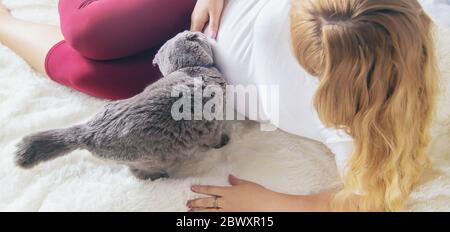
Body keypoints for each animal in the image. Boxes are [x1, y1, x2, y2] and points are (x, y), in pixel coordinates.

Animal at [14, 30, 229, 179]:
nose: (202, 32)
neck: (190, 68)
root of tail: (87, 131)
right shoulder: (214, 124)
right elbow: (214, 140)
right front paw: (224, 143)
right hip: (149, 158)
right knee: (138, 172)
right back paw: (158, 177)